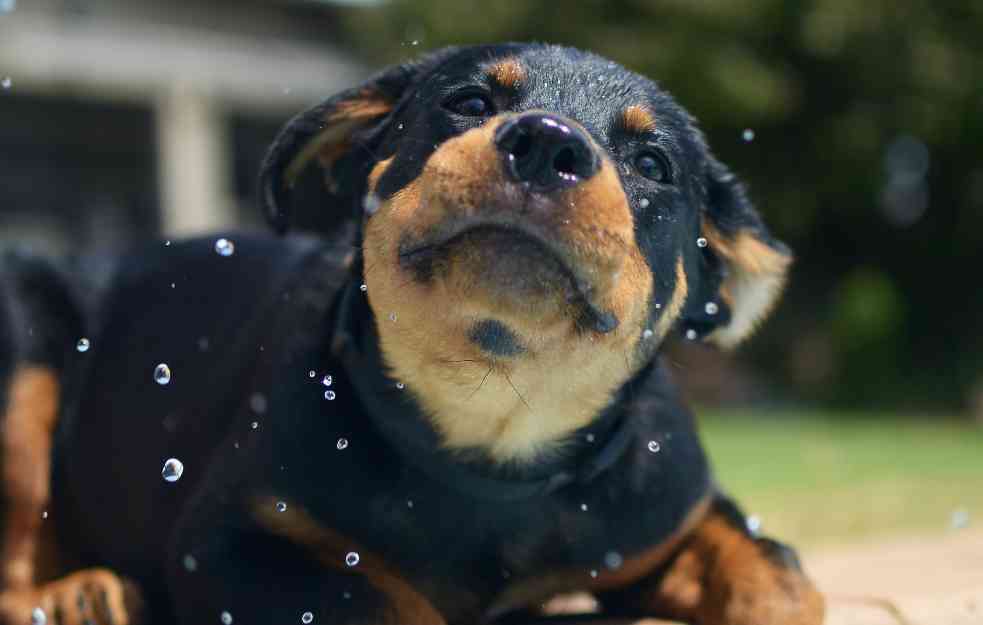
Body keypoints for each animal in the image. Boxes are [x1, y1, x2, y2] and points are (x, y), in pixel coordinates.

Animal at [0, 45, 824, 624]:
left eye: (652, 162)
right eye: (468, 102)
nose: (547, 144)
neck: (493, 425)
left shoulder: (671, 510)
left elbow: (779, 576)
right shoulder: (230, 543)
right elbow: (382, 599)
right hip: (23, 355)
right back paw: (77, 593)